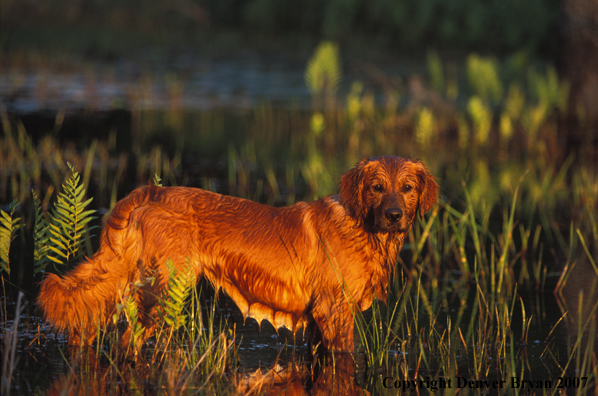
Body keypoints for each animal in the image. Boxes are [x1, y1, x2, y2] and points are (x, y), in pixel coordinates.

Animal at [38, 156, 440, 352]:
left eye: (407, 188)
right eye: (376, 187)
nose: (394, 215)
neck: (363, 229)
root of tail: (153, 192)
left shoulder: (316, 320)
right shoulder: (334, 311)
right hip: (165, 292)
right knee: (127, 341)